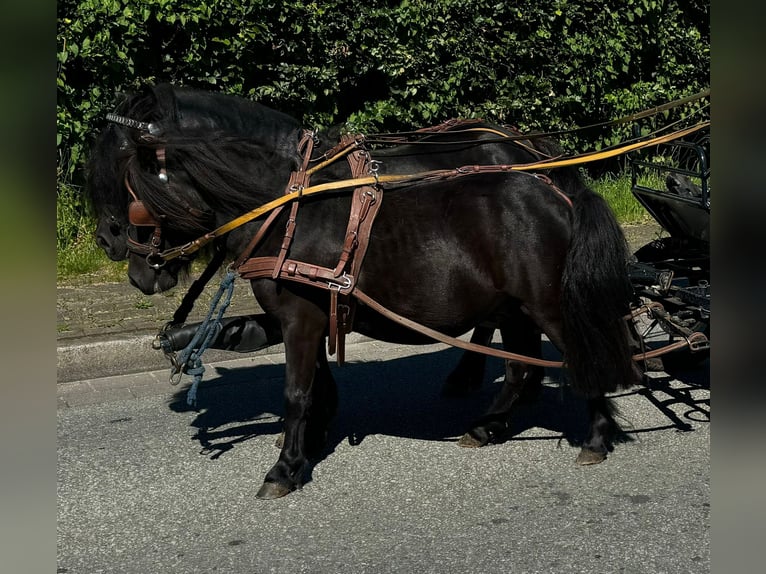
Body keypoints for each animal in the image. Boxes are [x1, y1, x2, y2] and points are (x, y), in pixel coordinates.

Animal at [87, 84, 640, 500]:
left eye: (128, 185)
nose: (122, 255)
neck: (287, 208)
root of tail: (559, 188)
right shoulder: (306, 313)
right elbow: (310, 379)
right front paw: (308, 440)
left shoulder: (302, 316)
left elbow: (296, 391)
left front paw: (285, 468)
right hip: (514, 306)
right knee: (522, 364)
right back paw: (488, 424)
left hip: (548, 305)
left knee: (579, 355)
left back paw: (594, 436)